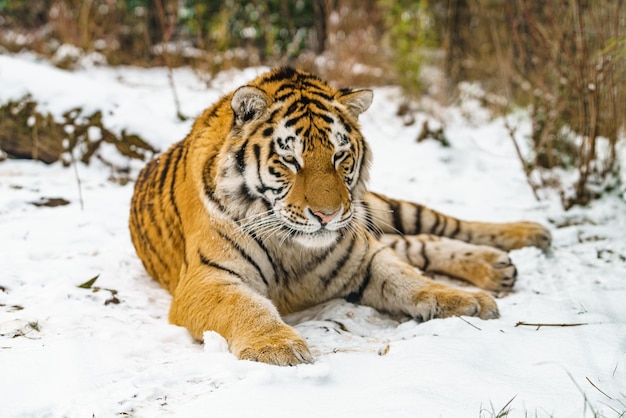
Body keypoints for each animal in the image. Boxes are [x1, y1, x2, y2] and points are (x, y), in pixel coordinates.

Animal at [129, 65, 548, 366]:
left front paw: (464, 300)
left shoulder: (364, 255)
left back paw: (528, 235)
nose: (327, 215)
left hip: (377, 209)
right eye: (290, 159)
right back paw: (498, 265)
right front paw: (277, 346)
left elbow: (412, 281)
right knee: (420, 243)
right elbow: (246, 306)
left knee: (440, 226)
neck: (292, 247)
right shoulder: (207, 279)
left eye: (339, 156)